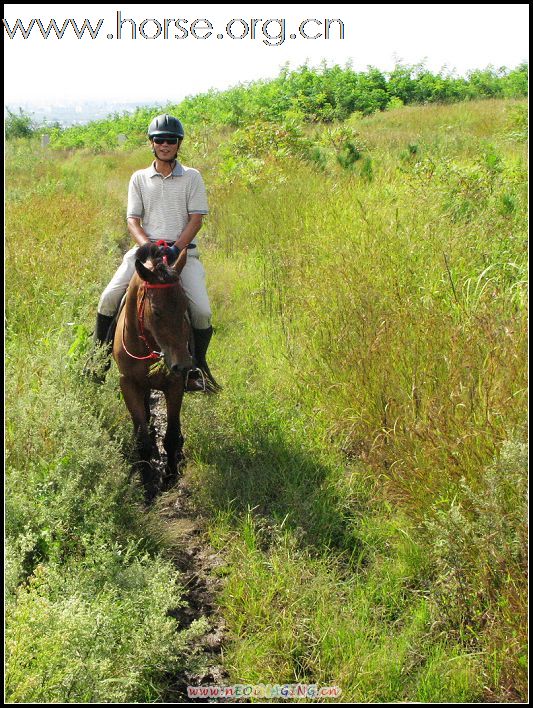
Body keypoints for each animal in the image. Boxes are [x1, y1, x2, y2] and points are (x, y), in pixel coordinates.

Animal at [113, 243, 192, 504]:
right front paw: (147, 485)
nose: (183, 365)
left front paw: (170, 476)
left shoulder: (175, 384)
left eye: (186, 305)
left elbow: (171, 434)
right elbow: (143, 439)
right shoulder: (128, 385)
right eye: (156, 312)